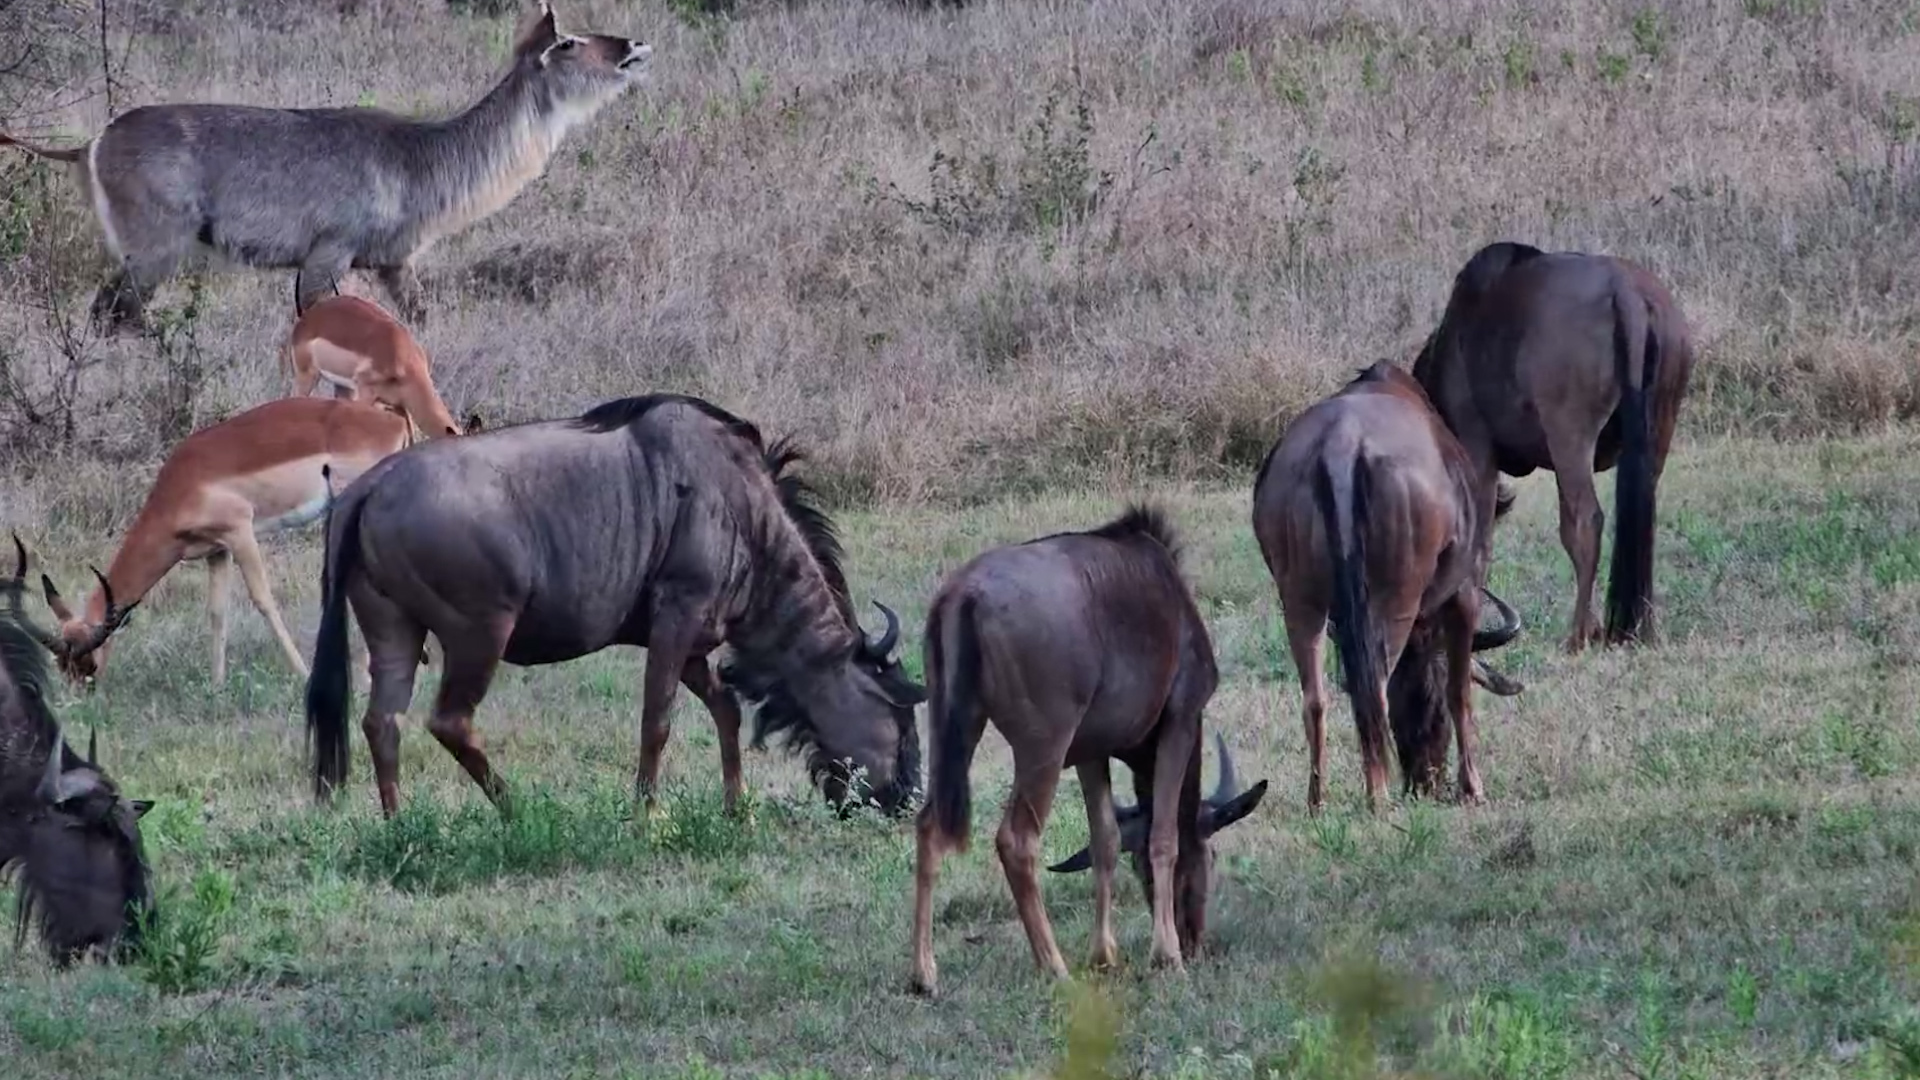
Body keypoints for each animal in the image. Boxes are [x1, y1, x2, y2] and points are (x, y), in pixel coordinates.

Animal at [0, 1, 652, 333]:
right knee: (115, 316)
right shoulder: (327, 254)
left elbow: (420, 321)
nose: (634, 46)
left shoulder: (394, 263)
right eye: (568, 43)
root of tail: (91, 143)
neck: (422, 158)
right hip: (154, 251)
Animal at [40, 397, 448, 688]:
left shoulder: (241, 532)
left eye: (88, 658)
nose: (78, 697)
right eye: (61, 662)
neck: (181, 485)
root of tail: (395, 421)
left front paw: (303, 675)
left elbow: (264, 600)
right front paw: (217, 685)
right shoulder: (216, 551)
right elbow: (217, 612)